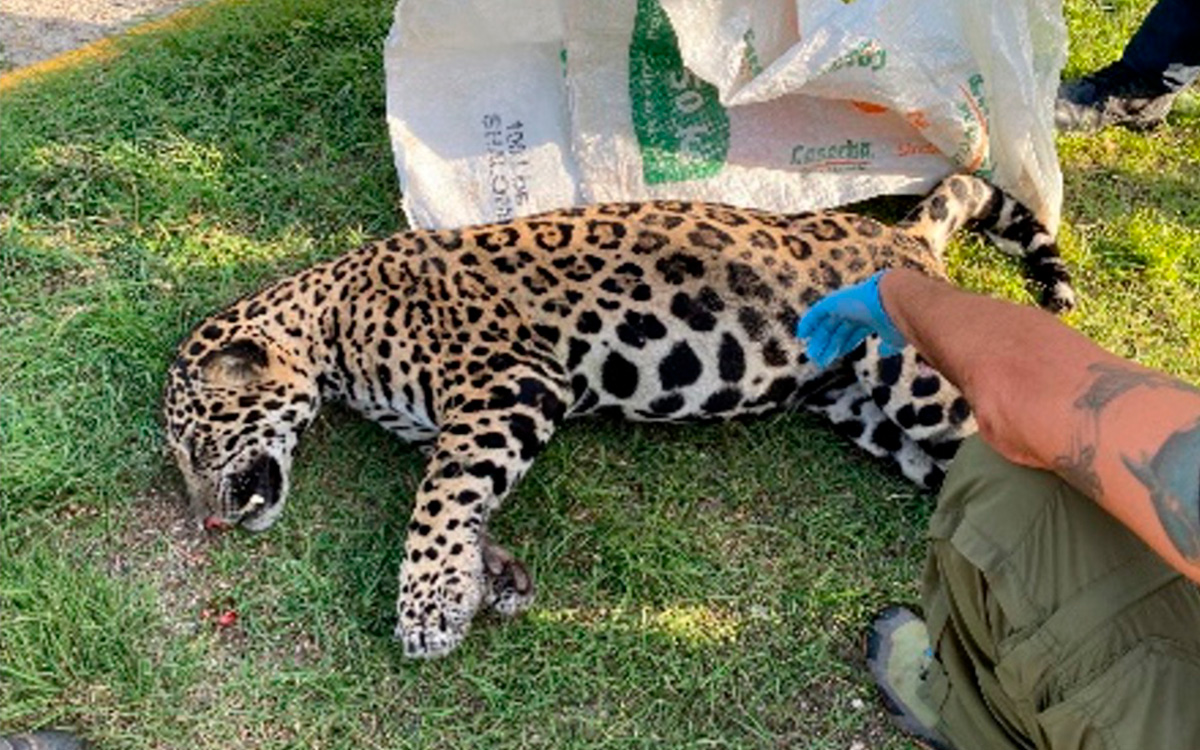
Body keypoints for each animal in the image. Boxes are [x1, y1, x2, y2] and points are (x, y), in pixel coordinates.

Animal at [163, 173, 1075, 659]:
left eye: (196, 446)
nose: (207, 520)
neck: (328, 329)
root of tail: (903, 234)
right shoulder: (460, 427)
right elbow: (461, 499)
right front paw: (490, 577)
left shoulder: (508, 386)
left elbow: (435, 502)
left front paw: (427, 608)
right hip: (872, 414)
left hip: (919, 378)